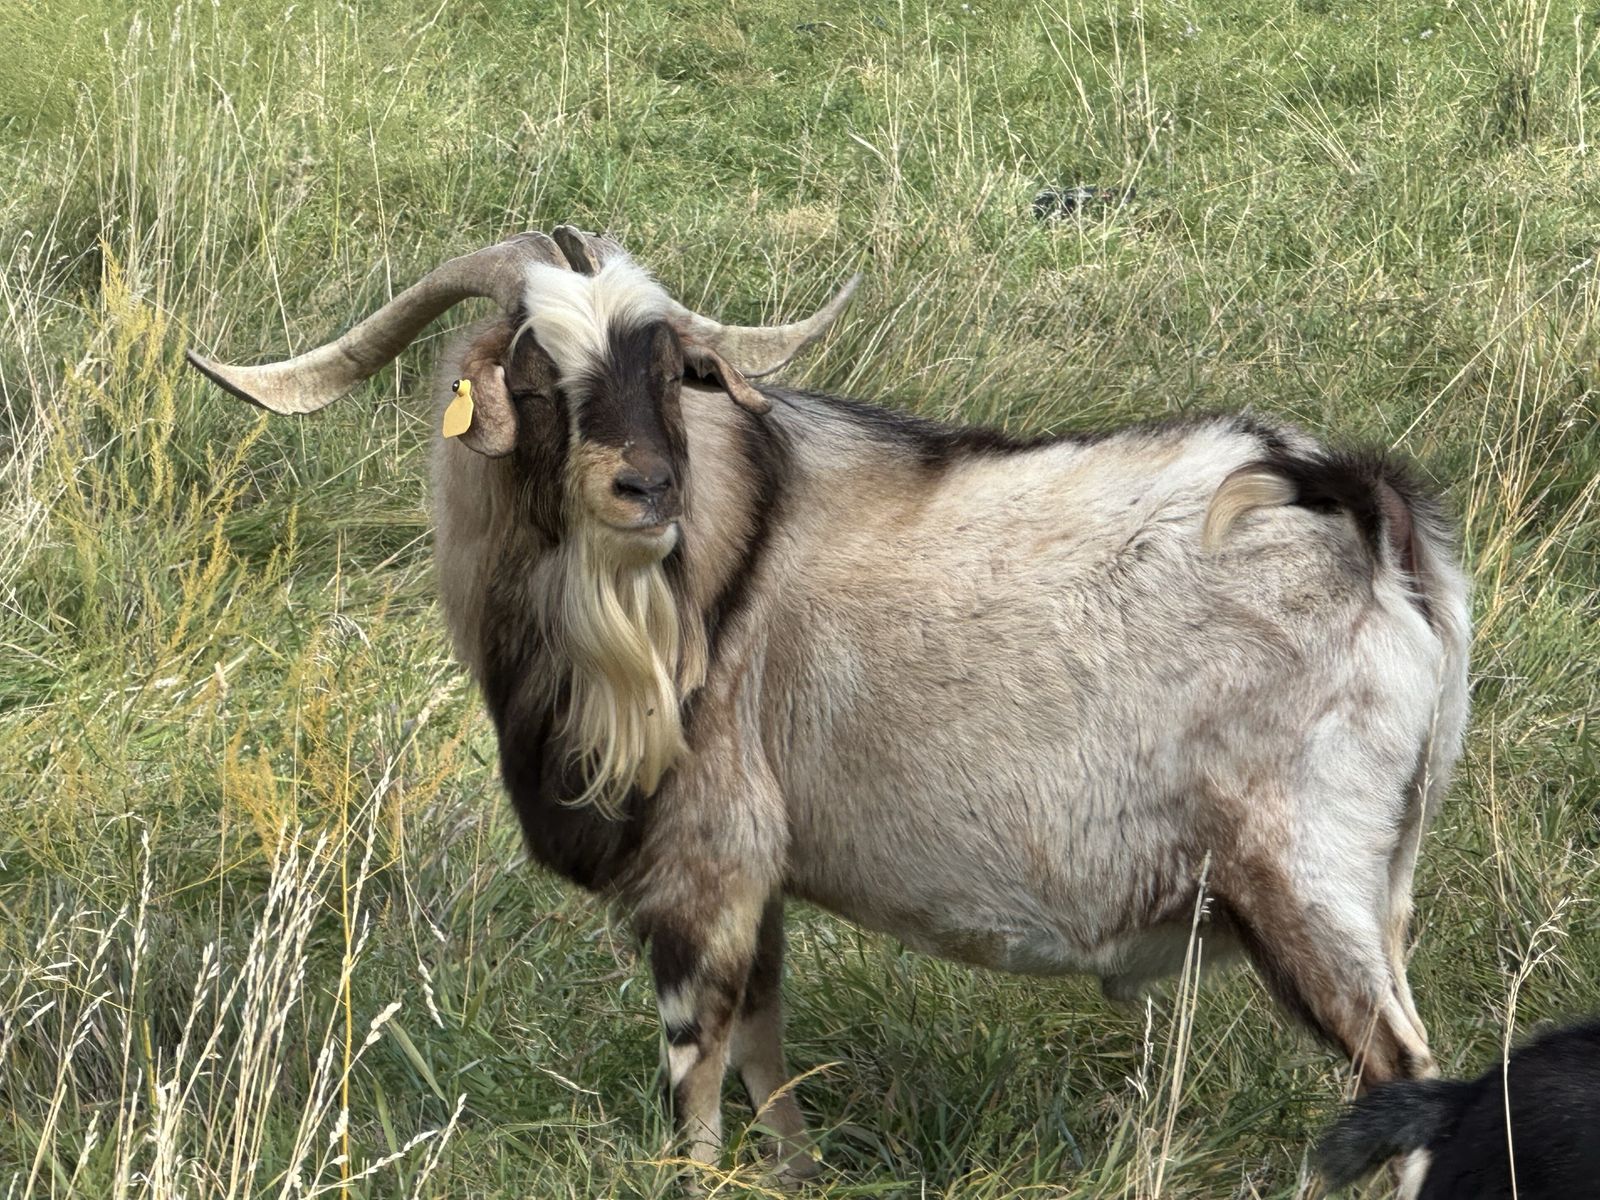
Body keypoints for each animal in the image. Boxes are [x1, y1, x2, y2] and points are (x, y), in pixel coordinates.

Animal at [188, 228, 1472, 1183]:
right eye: (537, 367)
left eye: (672, 368)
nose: (645, 487)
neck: (696, 581)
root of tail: (1366, 518)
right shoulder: (759, 881)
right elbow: (766, 1049)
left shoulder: (703, 865)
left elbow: (699, 1069)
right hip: (1380, 885)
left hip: (1302, 880)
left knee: (1403, 1081)